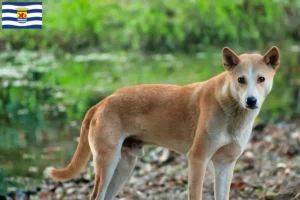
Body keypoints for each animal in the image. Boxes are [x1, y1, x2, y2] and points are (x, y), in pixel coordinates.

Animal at [45, 47, 280, 200]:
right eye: (241, 80)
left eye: (261, 79)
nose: (251, 101)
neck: (230, 108)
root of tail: (101, 102)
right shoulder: (198, 159)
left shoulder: (225, 165)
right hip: (108, 162)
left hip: (123, 166)